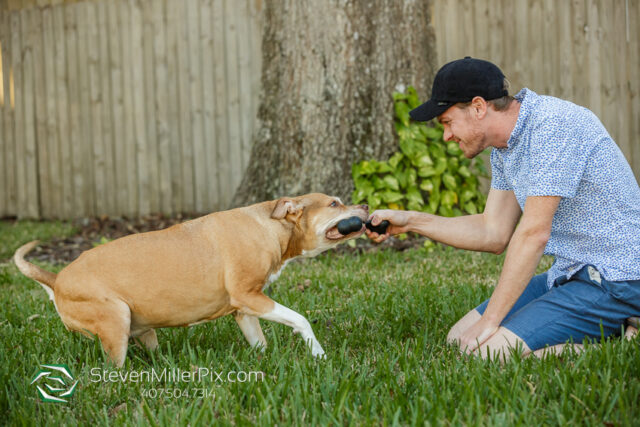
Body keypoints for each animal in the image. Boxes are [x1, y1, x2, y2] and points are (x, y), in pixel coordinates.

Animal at [15, 194, 368, 368]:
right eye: (334, 203)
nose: (365, 205)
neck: (271, 224)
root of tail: (57, 279)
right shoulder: (250, 297)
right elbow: (301, 319)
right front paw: (319, 355)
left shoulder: (245, 309)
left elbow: (259, 341)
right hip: (115, 319)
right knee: (111, 369)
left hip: (139, 327)